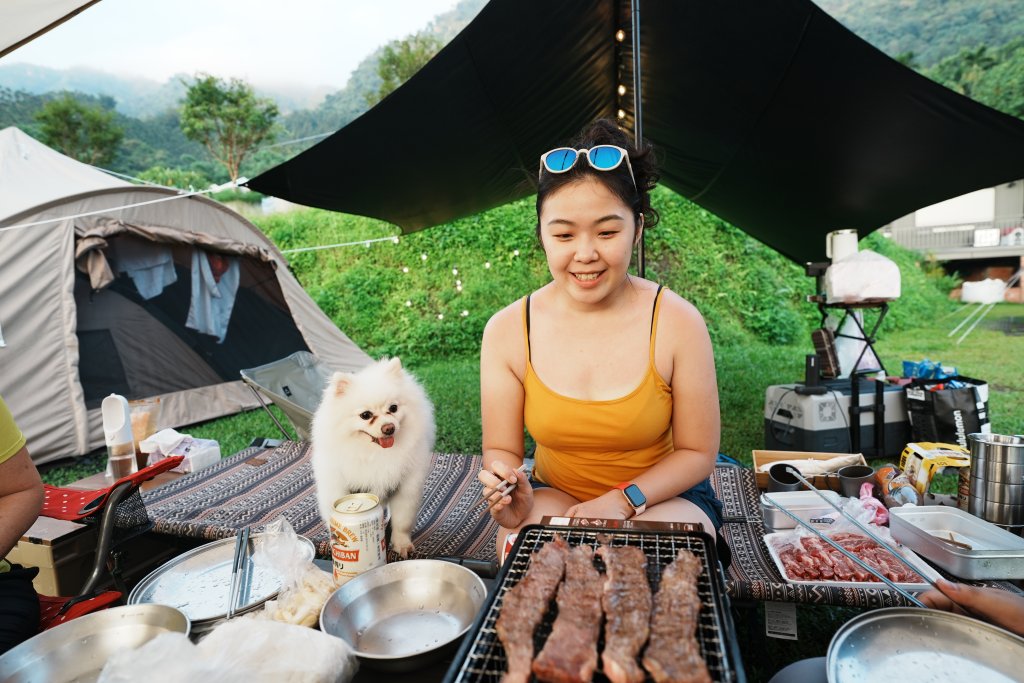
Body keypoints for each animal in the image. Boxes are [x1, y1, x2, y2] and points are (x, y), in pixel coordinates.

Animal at [307, 356, 436, 557]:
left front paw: (401, 544)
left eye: (393, 408)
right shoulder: (337, 488)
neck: (375, 453)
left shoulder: (405, 487)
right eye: (365, 415)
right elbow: (334, 517)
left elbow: (402, 521)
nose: (389, 428)